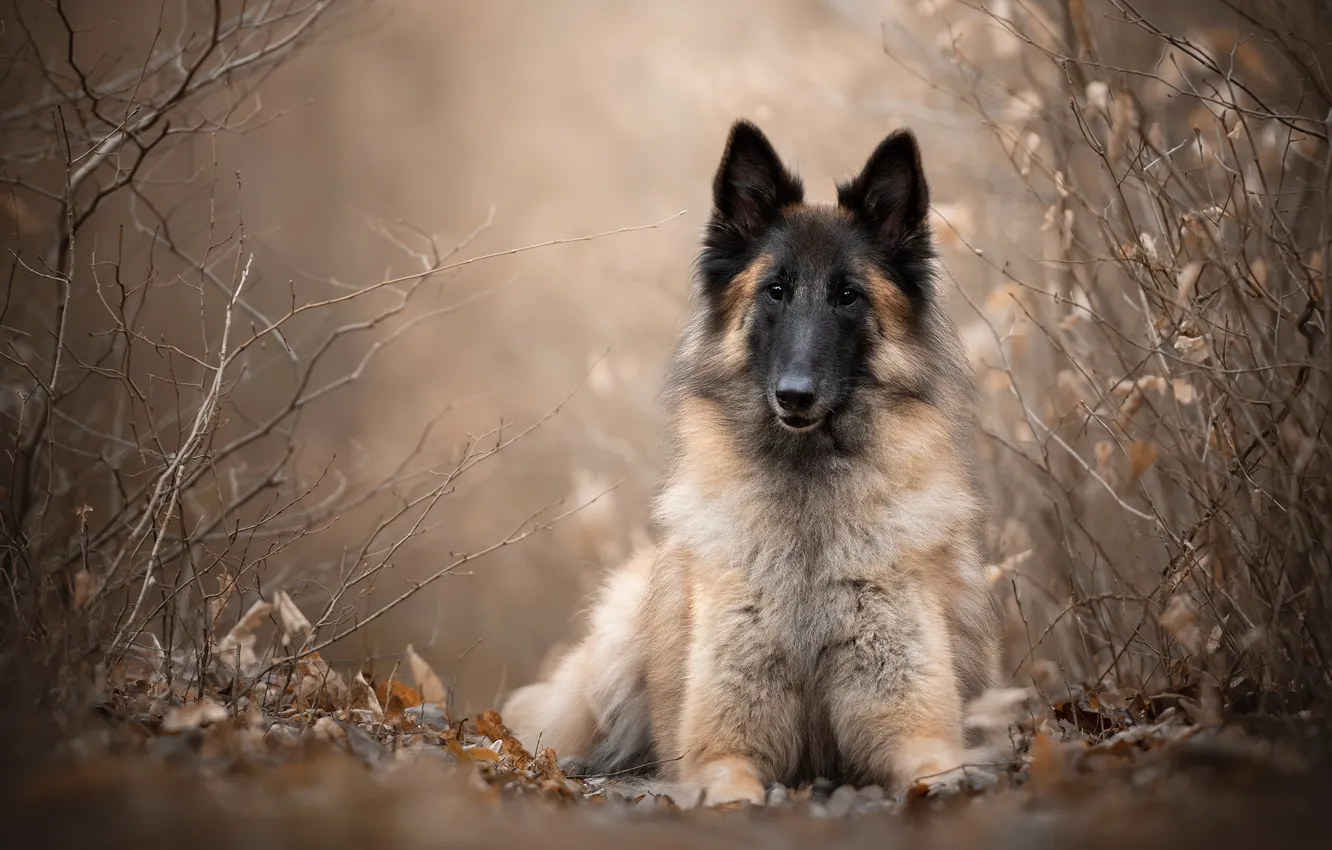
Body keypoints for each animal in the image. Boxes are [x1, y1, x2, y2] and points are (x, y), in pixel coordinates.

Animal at [500, 118, 1001, 804]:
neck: (808, 504)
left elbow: (936, 767)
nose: (795, 395)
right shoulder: (721, 750)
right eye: (776, 291)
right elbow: (730, 784)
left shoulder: (916, 728)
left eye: (848, 296)